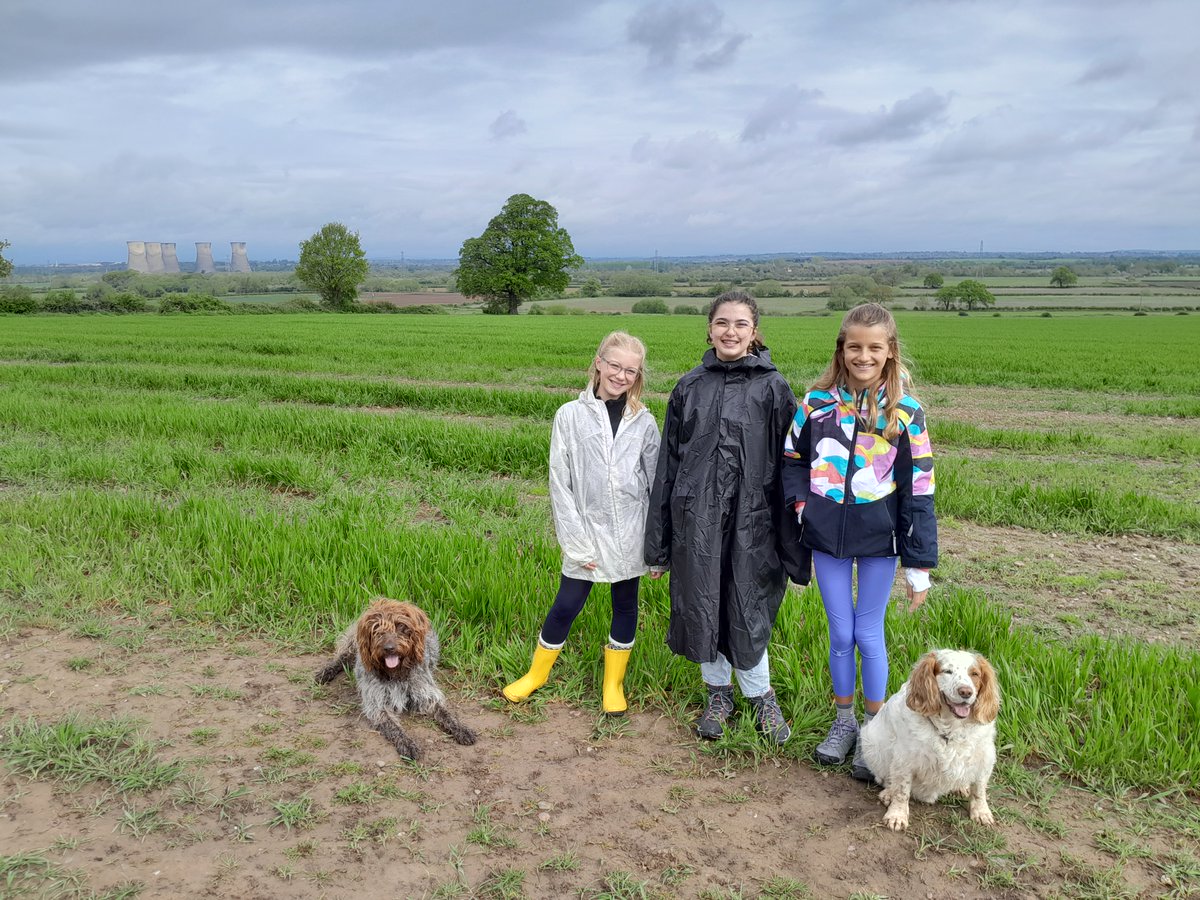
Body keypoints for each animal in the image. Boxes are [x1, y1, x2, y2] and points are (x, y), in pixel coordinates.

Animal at [314, 600, 477, 763]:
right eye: (377, 629)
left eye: (401, 626)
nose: (389, 648)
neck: (396, 674)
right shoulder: (378, 705)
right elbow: (394, 728)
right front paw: (407, 744)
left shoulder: (426, 694)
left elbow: (446, 714)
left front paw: (462, 729)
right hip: (354, 643)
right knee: (343, 657)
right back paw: (326, 673)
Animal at [859, 648, 998, 830]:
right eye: (948, 671)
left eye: (974, 674)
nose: (966, 692)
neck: (952, 729)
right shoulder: (905, 759)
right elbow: (901, 791)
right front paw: (897, 815)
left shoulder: (985, 757)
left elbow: (979, 790)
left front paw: (981, 812)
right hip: (871, 745)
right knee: (886, 779)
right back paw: (888, 793)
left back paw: (961, 787)